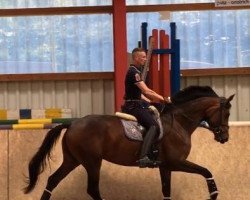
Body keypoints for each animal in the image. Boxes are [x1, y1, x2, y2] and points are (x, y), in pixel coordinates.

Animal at [23, 85, 234, 200]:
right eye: (226, 113)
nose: (224, 138)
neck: (179, 122)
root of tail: (73, 123)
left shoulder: (165, 167)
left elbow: (166, 191)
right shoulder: (176, 162)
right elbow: (206, 171)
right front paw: (214, 193)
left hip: (72, 160)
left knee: (53, 180)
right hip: (92, 162)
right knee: (92, 189)